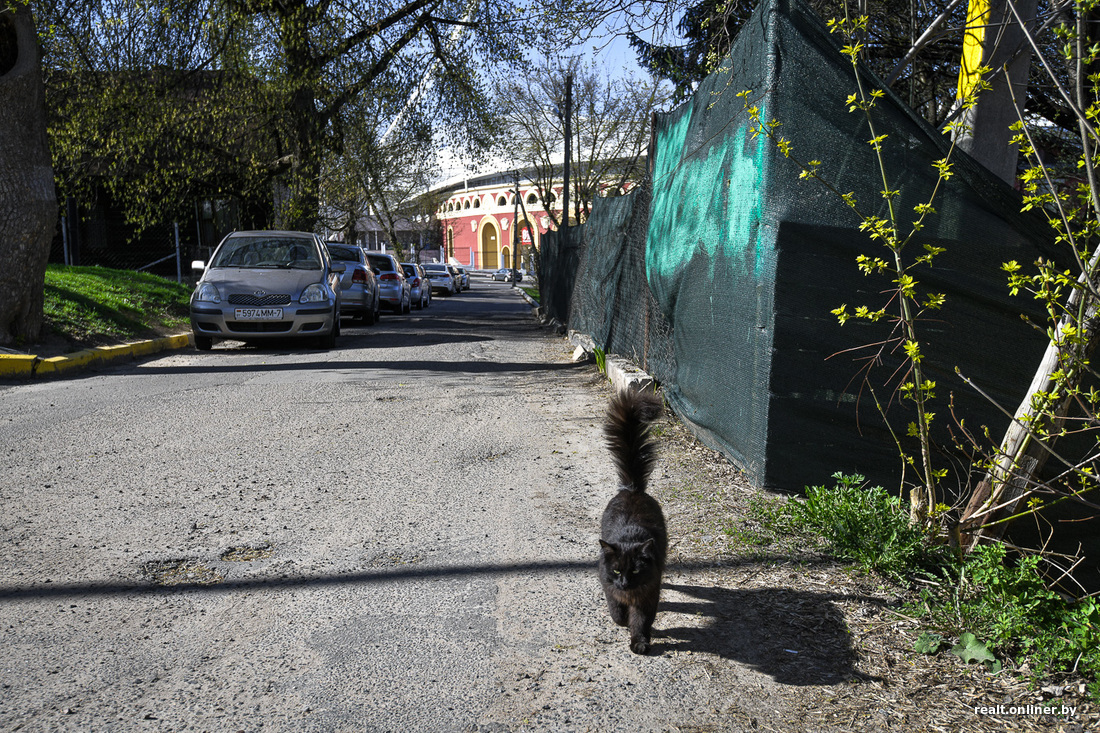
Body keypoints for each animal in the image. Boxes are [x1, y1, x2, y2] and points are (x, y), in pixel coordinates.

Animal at [598, 387, 664, 651]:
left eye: (635, 571)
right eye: (617, 571)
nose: (624, 583)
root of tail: (632, 489)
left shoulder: (648, 595)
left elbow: (642, 620)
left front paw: (640, 643)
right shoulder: (608, 584)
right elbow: (616, 611)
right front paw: (623, 620)